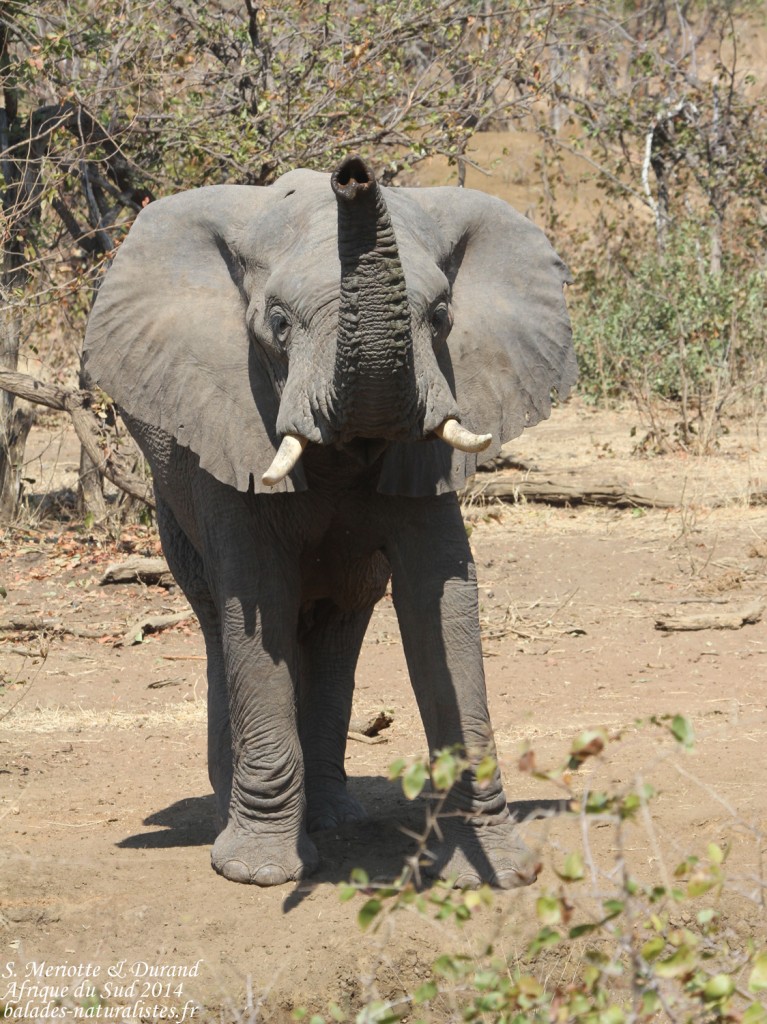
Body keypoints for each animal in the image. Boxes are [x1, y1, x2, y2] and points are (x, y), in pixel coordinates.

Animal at [83, 156, 576, 888]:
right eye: (278, 323)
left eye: (440, 317)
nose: (353, 175)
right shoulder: (232, 421)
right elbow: (257, 597)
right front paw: (258, 873)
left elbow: (442, 598)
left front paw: (498, 870)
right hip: (171, 497)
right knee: (219, 619)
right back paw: (234, 813)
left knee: (341, 621)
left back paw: (334, 817)